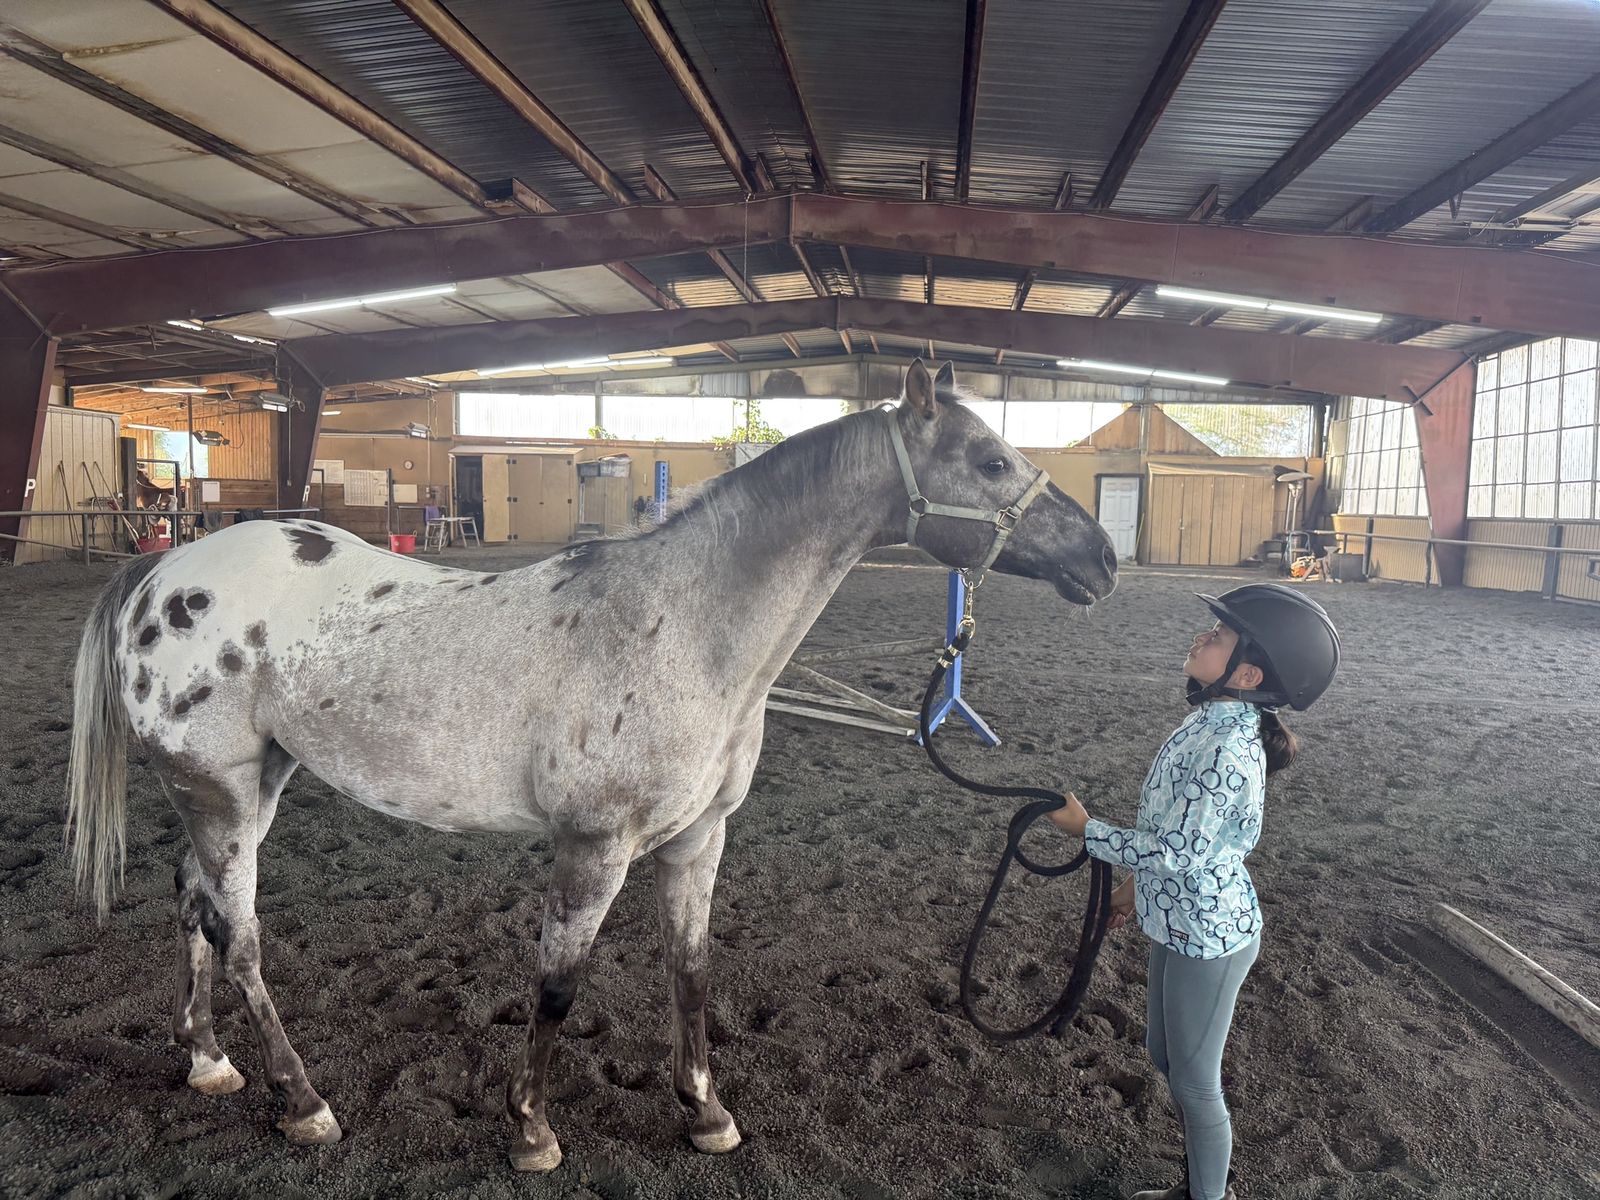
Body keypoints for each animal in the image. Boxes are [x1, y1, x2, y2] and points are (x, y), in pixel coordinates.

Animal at [66, 360, 1118, 1171]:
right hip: (220, 791)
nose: (1104, 560)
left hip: (253, 787)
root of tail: (158, 575)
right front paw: (532, 1131)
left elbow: (690, 971)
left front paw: (707, 1113)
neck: (686, 627)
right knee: (238, 937)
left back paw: (206, 1059)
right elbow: (558, 986)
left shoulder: (699, 839)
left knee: (192, 906)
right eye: (991, 461)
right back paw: (303, 1102)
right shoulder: (594, 845)